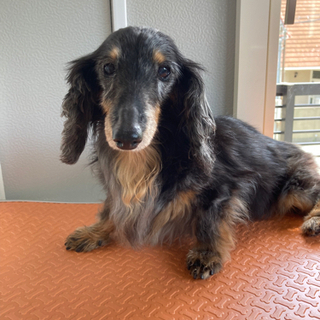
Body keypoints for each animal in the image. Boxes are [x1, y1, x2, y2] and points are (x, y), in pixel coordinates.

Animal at [61, 26, 318, 278]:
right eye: (108, 68)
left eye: (165, 71)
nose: (126, 138)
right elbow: (110, 208)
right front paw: (94, 231)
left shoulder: (224, 189)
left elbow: (209, 220)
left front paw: (207, 253)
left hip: (295, 189)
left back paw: (314, 221)